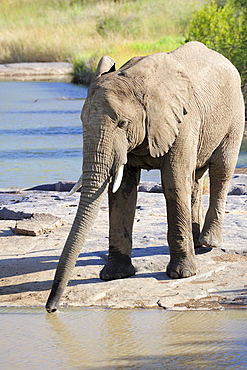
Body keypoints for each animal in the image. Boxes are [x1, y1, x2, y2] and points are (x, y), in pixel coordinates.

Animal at [45, 40, 244, 312]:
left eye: (122, 123)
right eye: (82, 122)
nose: (51, 308)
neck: (136, 81)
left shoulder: (183, 121)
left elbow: (173, 182)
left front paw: (181, 275)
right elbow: (121, 190)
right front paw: (115, 275)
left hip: (234, 114)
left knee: (221, 170)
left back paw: (208, 243)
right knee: (195, 178)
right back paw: (195, 242)